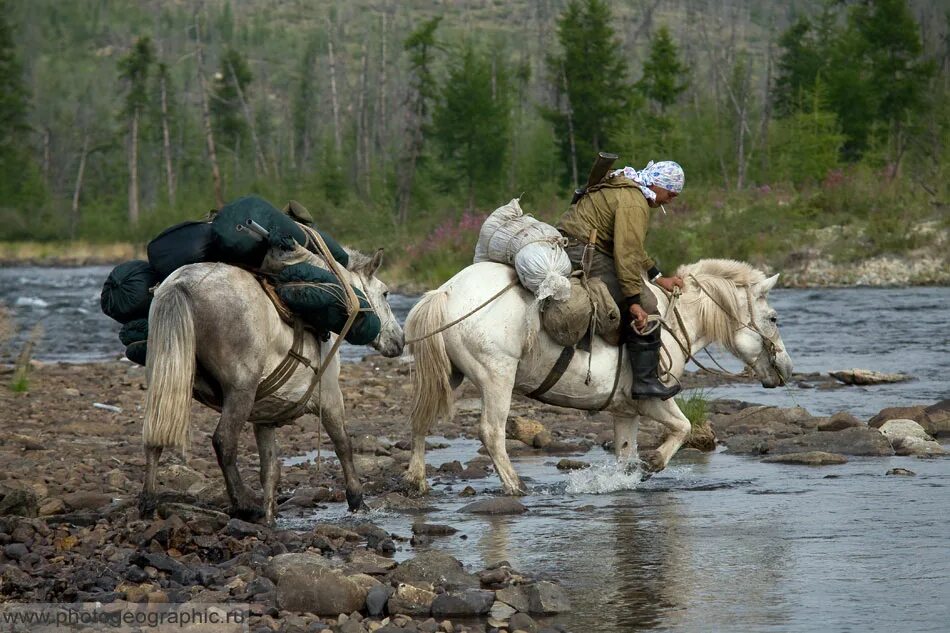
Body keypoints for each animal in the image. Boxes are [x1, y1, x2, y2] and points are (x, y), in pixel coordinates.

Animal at [139, 251, 404, 524]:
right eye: (385, 293)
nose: (400, 340)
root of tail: (180, 284)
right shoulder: (330, 397)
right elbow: (343, 446)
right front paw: (357, 501)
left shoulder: (264, 418)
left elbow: (270, 469)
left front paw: (270, 516)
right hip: (240, 392)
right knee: (224, 442)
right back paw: (244, 505)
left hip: (167, 379)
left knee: (154, 436)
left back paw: (148, 501)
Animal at [404, 256, 796, 494]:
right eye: (774, 317)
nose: (788, 370)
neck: (674, 320)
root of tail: (444, 293)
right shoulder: (653, 401)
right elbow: (684, 427)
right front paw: (654, 462)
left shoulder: (625, 410)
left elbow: (624, 452)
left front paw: (628, 477)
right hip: (496, 377)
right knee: (491, 432)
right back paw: (516, 486)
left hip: (447, 376)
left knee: (421, 420)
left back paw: (417, 479)